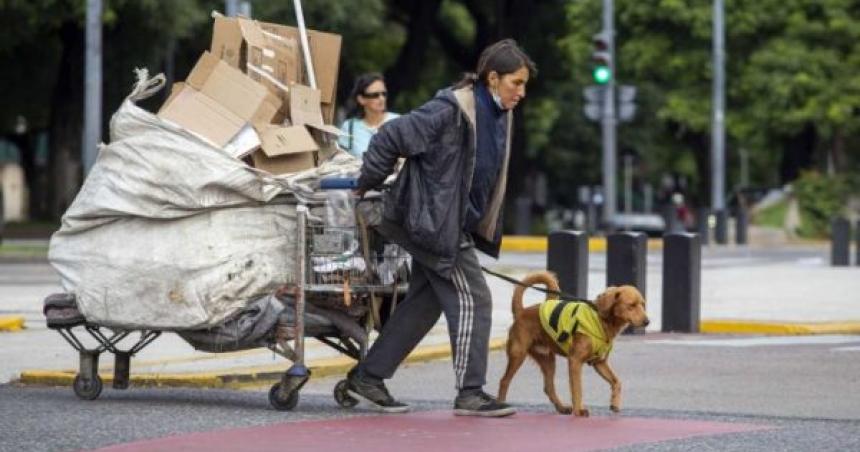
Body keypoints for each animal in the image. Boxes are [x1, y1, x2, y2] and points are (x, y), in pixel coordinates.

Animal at [498, 272, 644, 416]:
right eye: (631, 305)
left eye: (643, 304)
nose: (647, 321)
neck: (602, 320)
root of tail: (521, 312)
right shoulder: (575, 361)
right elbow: (577, 389)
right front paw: (578, 410)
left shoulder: (599, 363)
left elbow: (616, 381)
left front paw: (615, 403)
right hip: (518, 355)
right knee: (504, 381)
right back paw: (502, 404)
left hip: (548, 360)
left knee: (548, 387)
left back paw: (562, 408)